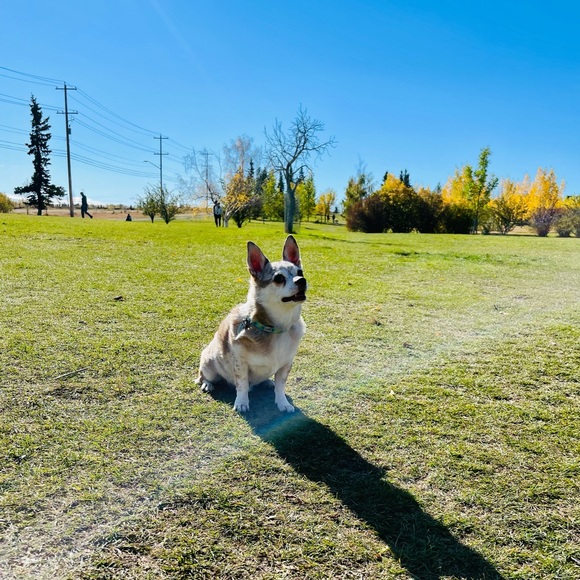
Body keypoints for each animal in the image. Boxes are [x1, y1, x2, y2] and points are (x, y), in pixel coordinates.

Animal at [196, 236, 306, 412]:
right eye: (279, 278)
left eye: (300, 273)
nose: (302, 281)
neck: (276, 328)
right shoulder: (240, 364)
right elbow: (242, 384)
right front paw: (241, 403)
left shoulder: (286, 365)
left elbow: (280, 386)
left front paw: (283, 403)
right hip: (209, 365)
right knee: (203, 376)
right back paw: (207, 384)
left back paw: (267, 382)